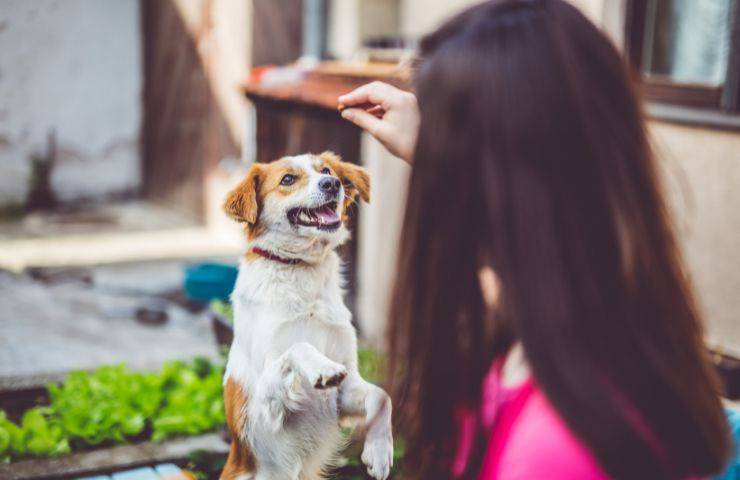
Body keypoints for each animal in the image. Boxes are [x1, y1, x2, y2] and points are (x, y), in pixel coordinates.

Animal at [220, 152, 394, 478]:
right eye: (288, 179)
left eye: (326, 170)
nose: (332, 184)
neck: (300, 268)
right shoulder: (266, 403)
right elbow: (298, 347)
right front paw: (322, 368)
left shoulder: (345, 392)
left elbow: (382, 396)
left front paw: (379, 451)